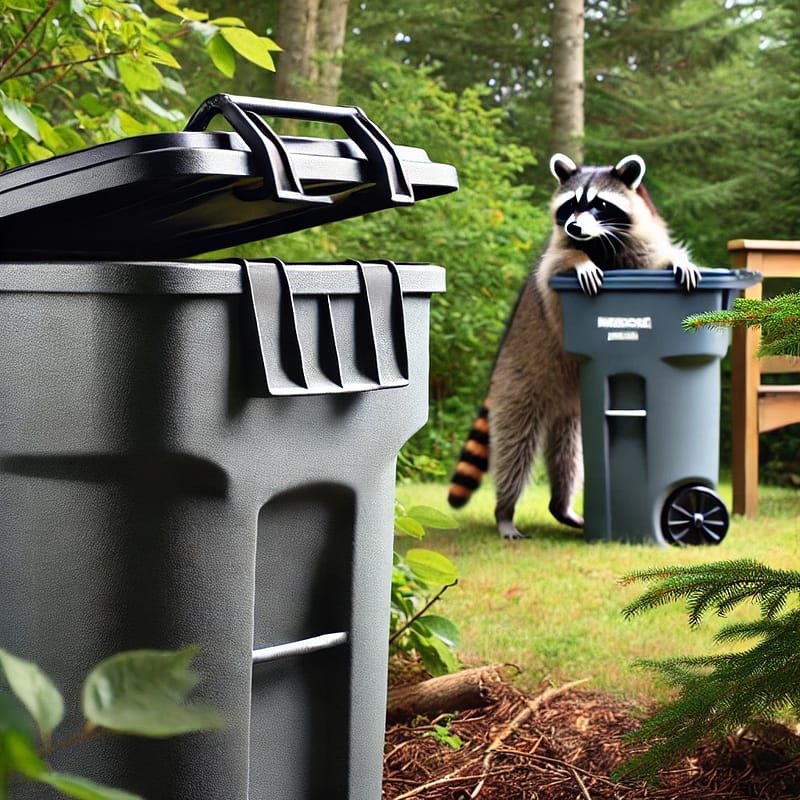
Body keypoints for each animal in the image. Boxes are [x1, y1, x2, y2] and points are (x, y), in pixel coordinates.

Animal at [447, 153, 700, 540]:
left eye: (599, 204)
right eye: (570, 205)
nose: (575, 228)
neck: (601, 242)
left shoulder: (641, 239)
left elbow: (655, 260)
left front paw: (677, 260)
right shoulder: (553, 255)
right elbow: (554, 267)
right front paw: (579, 261)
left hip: (571, 412)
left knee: (570, 457)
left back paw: (561, 506)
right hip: (519, 383)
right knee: (514, 449)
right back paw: (505, 509)